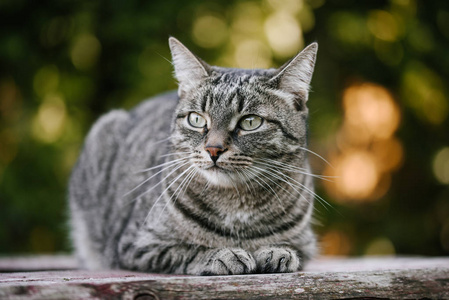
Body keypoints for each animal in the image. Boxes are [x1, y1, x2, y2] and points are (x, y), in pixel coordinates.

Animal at [68, 36, 316, 276]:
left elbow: (294, 250)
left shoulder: (307, 243)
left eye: (250, 122)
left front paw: (277, 251)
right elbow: (187, 251)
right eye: (196, 119)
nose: (214, 149)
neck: (236, 206)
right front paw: (224, 255)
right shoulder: (139, 245)